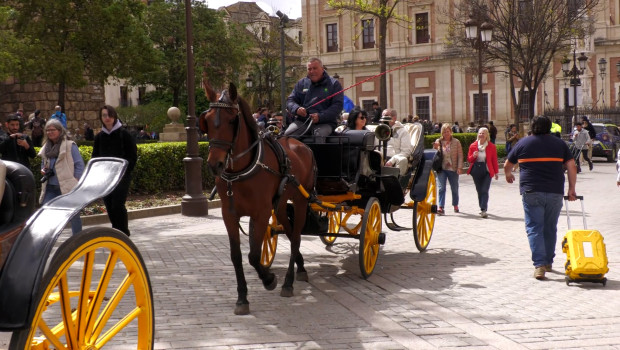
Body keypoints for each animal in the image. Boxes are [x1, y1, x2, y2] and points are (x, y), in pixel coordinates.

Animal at [201, 81, 318, 314]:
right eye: (207, 120)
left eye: (232, 120)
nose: (214, 164)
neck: (241, 169)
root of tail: (302, 145)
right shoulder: (229, 215)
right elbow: (237, 256)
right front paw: (242, 297)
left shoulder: (261, 213)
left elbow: (254, 255)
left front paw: (269, 279)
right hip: (280, 205)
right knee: (290, 233)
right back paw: (300, 267)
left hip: (300, 201)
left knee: (296, 237)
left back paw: (288, 282)